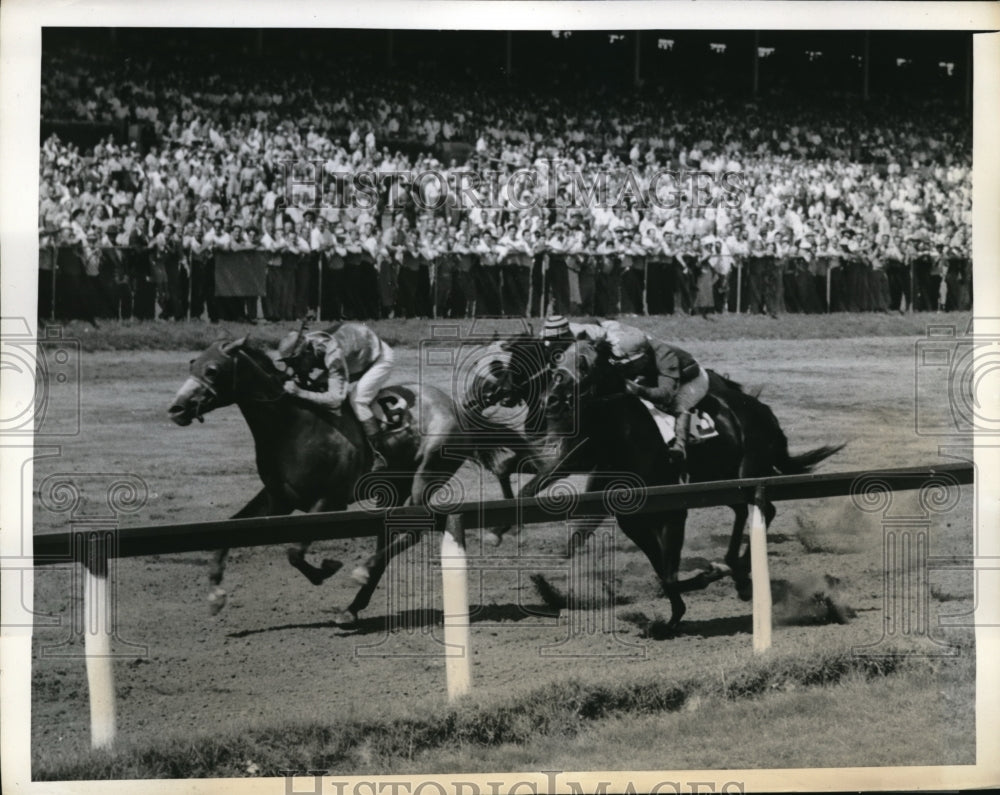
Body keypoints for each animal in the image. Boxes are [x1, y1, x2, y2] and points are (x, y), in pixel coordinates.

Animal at [166, 338, 532, 624]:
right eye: (193, 364)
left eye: (213, 370)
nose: (176, 409)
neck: (291, 427)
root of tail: (453, 405)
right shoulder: (277, 498)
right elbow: (230, 528)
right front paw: (215, 593)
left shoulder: (330, 500)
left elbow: (294, 551)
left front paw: (326, 568)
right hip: (392, 490)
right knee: (389, 535)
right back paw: (353, 606)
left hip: (427, 474)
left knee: (412, 532)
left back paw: (363, 570)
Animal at [496, 340, 840, 636]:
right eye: (556, 364)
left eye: (583, 365)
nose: (551, 401)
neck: (625, 436)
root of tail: (763, 411)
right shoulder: (630, 516)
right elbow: (663, 574)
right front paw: (671, 620)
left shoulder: (672, 511)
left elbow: (670, 576)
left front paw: (699, 586)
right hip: (720, 479)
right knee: (745, 511)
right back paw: (737, 570)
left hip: (748, 472)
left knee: (765, 508)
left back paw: (736, 569)